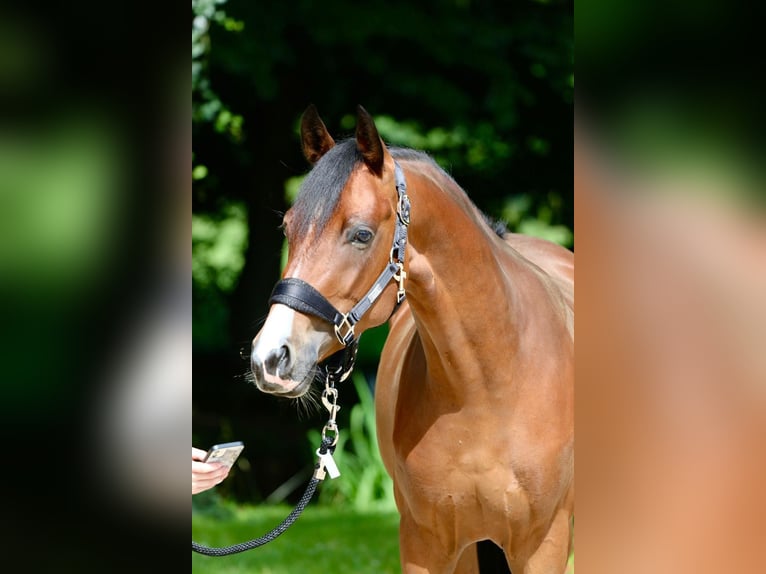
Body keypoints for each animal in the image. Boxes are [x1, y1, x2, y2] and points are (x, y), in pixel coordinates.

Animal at [250, 105, 574, 573]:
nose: (270, 358)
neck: (489, 386)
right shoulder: (425, 542)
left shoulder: (543, 545)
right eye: (288, 228)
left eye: (361, 234)